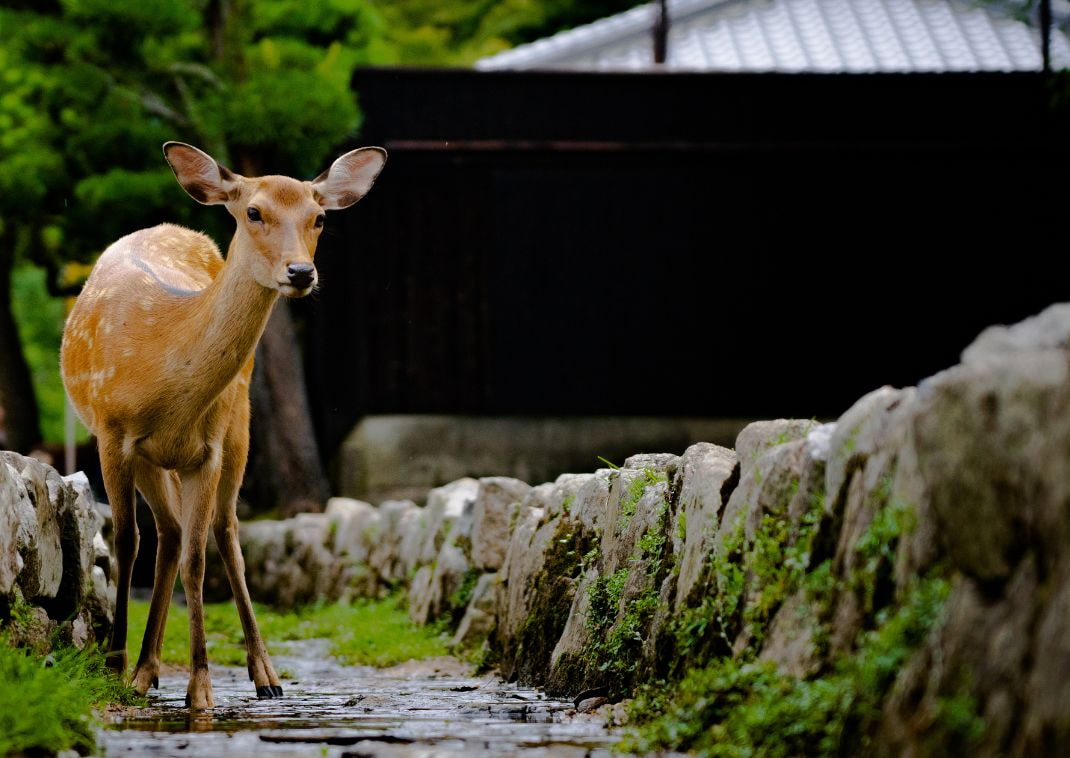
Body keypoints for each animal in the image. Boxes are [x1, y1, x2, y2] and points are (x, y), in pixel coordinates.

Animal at [57, 139, 385, 706]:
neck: (162, 370)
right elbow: (127, 542)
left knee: (225, 531)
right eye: (253, 212)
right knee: (166, 532)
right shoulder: (113, 434)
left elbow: (198, 557)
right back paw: (144, 670)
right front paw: (114, 665)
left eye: (319, 217)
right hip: (151, 456)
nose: (301, 273)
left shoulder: (206, 448)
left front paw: (200, 687)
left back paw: (264, 674)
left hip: (240, 424)